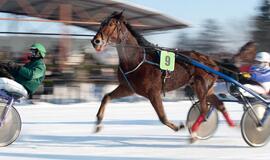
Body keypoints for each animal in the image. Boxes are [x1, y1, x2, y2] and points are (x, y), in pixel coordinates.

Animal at [90, 10, 234, 141]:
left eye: (110, 24)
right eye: (101, 23)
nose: (95, 41)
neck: (137, 60)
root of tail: (211, 61)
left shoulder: (153, 92)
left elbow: (162, 117)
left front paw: (178, 126)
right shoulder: (127, 88)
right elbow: (106, 97)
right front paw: (98, 123)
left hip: (201, 85)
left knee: (204, 110)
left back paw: (193, 133)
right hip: (206, 88)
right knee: (220, 105)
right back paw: (232, 125)